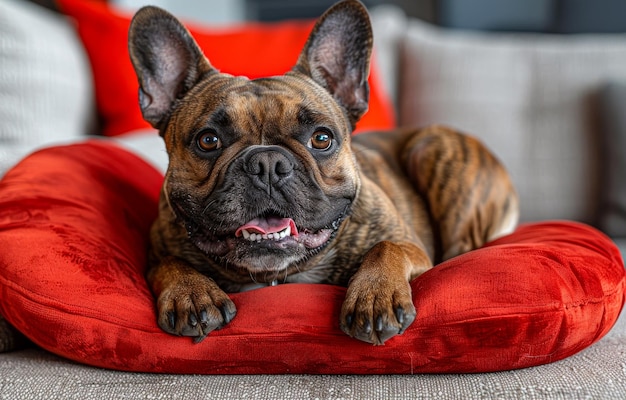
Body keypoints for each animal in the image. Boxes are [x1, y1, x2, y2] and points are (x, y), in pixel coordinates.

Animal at [127, 0, 516, 344]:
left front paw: (375, 297)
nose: (267, 163)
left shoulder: (410, 245)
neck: (276, 276)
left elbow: (387, 247)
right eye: (208, 141)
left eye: (322, 138)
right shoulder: (157, 251)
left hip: (431, 148)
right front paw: (191, 293)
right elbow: (168, 263)